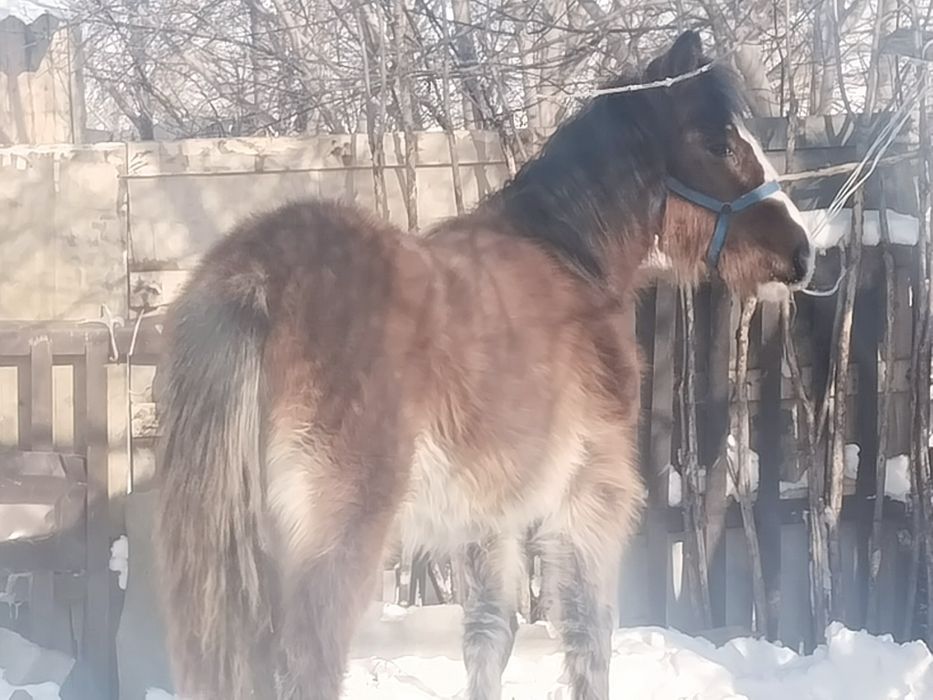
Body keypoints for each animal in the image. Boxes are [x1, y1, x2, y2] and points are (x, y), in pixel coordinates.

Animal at [154, 30, 813, 700]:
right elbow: (588, 633)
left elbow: (489, 635)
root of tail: (258, 277)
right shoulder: (590, 497)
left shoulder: (488, 519)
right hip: (336, 538)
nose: (802, 250)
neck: (572, 263)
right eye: (720, 143)